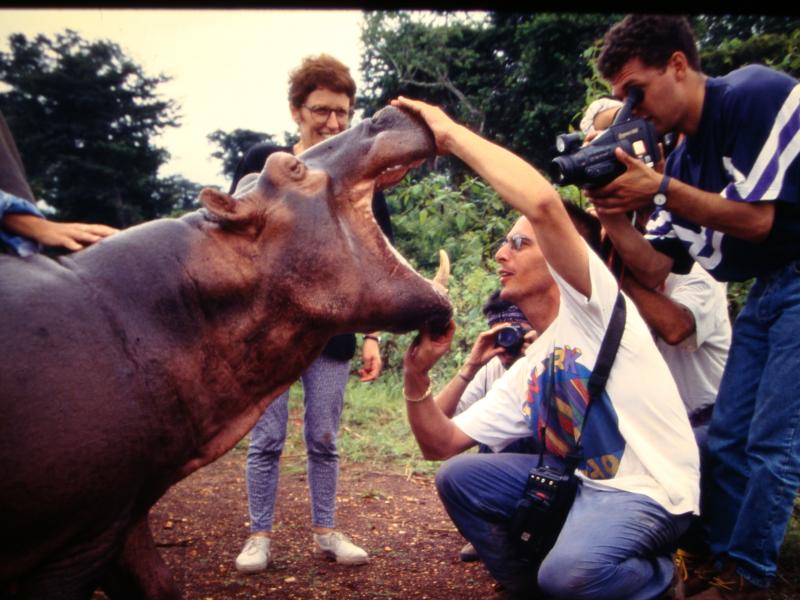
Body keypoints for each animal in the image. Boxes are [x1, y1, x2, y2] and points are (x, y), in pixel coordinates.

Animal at [0, 105, 452, 599]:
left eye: (257, 175)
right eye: (289, 168)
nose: (385, 112)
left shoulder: (123, 513)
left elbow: (158, 584)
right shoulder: (81, 541)